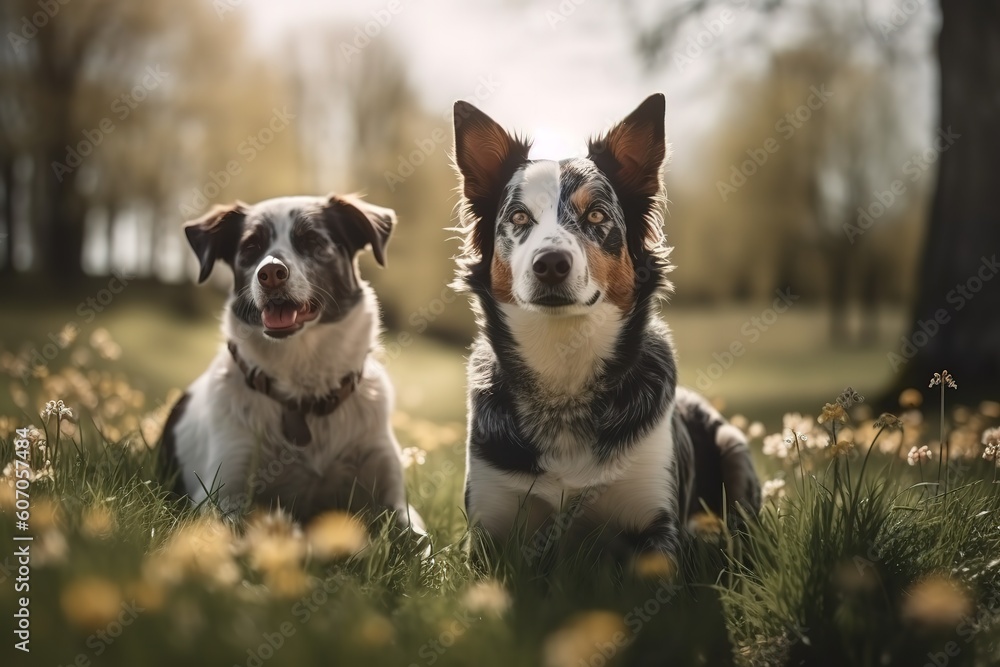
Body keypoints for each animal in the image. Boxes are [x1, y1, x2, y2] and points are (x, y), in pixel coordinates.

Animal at [159, 192, 422, 532]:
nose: (270, 273)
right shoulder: (221, 495)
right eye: (251, 247)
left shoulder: (395, 502)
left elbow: (417, 538)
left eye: (311, 240)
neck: (303, 393)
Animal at [452, 92, 756, 564]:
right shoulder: (486, 534)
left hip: (734, 447)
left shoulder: (656, 532)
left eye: (596, 215)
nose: (550, 264)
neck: (564, 377)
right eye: (519, 218)